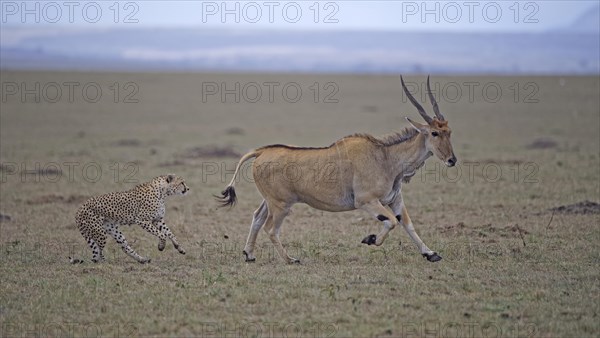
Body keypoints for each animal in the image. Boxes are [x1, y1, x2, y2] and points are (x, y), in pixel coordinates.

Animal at [218, 76, 458, 264]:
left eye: (449, 132)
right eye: (434, 133)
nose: (452, 160)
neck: (386, 158)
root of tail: (261, 152)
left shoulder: (395, 200)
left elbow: (407, 224)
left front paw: (430, 253)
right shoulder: (366, 201)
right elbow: (391, 221)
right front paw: (370, 239)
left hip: (271, 202)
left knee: (257, 218)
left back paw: (249, 254)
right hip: (281, 205)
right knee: (270, 228)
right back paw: (290, 259)